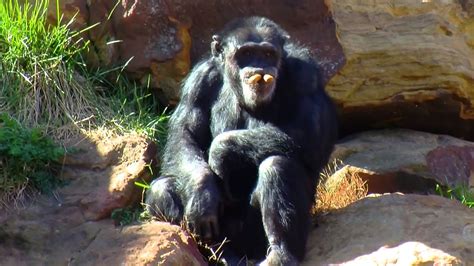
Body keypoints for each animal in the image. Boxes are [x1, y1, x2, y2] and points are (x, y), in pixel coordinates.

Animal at [144, 17, 336, 266]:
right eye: (246, 53)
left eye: (267, 54)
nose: (259, 68)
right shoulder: (198, 80)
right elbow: (186, 133)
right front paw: (202, 193)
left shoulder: (306, 74)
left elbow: (310, 132)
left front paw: (220, 151)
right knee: (162, 188)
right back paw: (220, 252)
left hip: (253, 236)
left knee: (277, 166)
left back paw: (281, 254)